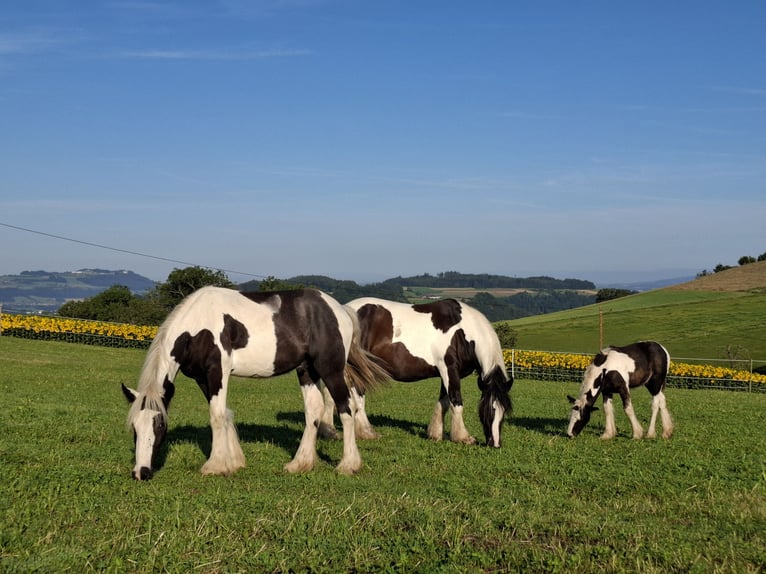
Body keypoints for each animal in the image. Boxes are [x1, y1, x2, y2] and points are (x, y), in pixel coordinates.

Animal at [124, 286, 392, 482]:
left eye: (160, 425)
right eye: (135, 427)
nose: (141, 472)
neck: (198, 327)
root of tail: (339, 309)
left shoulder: (218, 372)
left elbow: (216, 416)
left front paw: (215, 465)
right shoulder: (203, 378)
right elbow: (224, 413)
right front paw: (233, 461)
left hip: (330, 370)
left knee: (346, 409)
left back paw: (348, 465)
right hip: (307, 371)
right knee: (313, 411)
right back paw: (300, 463)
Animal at [320, 296, 512, 450]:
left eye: (504, 412)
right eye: (488, 410)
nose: (495, 444)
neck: (462, 331)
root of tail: (344, 311)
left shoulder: (445, 373)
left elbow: (443, 402)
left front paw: (435, 434)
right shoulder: (449, 369)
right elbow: (456, 401)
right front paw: (463, 437)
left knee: (332, 396)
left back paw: (331, 431)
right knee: (357, 397)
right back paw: (367, 433)